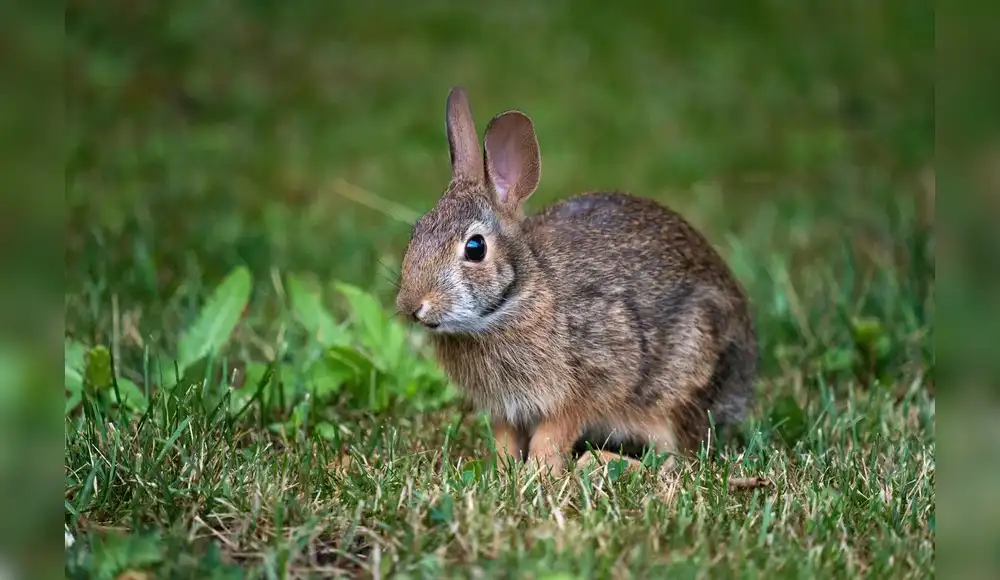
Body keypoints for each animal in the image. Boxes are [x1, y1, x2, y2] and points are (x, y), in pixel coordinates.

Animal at [395, 87, 757, 476]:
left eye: (475, 248)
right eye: (417, 232)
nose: (412, 306)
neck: (518, 298)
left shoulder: (584, 388)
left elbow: (552, 436)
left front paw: (540, 475)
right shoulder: (504, 410)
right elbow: (505, 440)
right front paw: (504, 472)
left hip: (680, 385)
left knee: (676, 460)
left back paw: (598, 462)